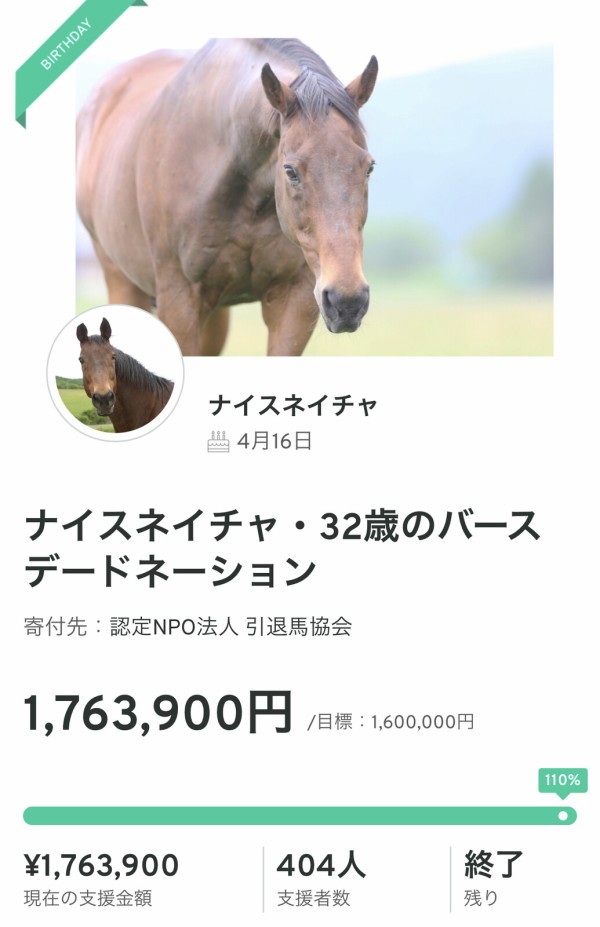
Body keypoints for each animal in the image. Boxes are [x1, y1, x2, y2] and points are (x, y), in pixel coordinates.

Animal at [76, 39, 378, 356]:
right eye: (290, 171)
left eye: (369, 167)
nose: (348, 301)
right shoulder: (179, 301)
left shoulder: (295, 298)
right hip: (123, 282)